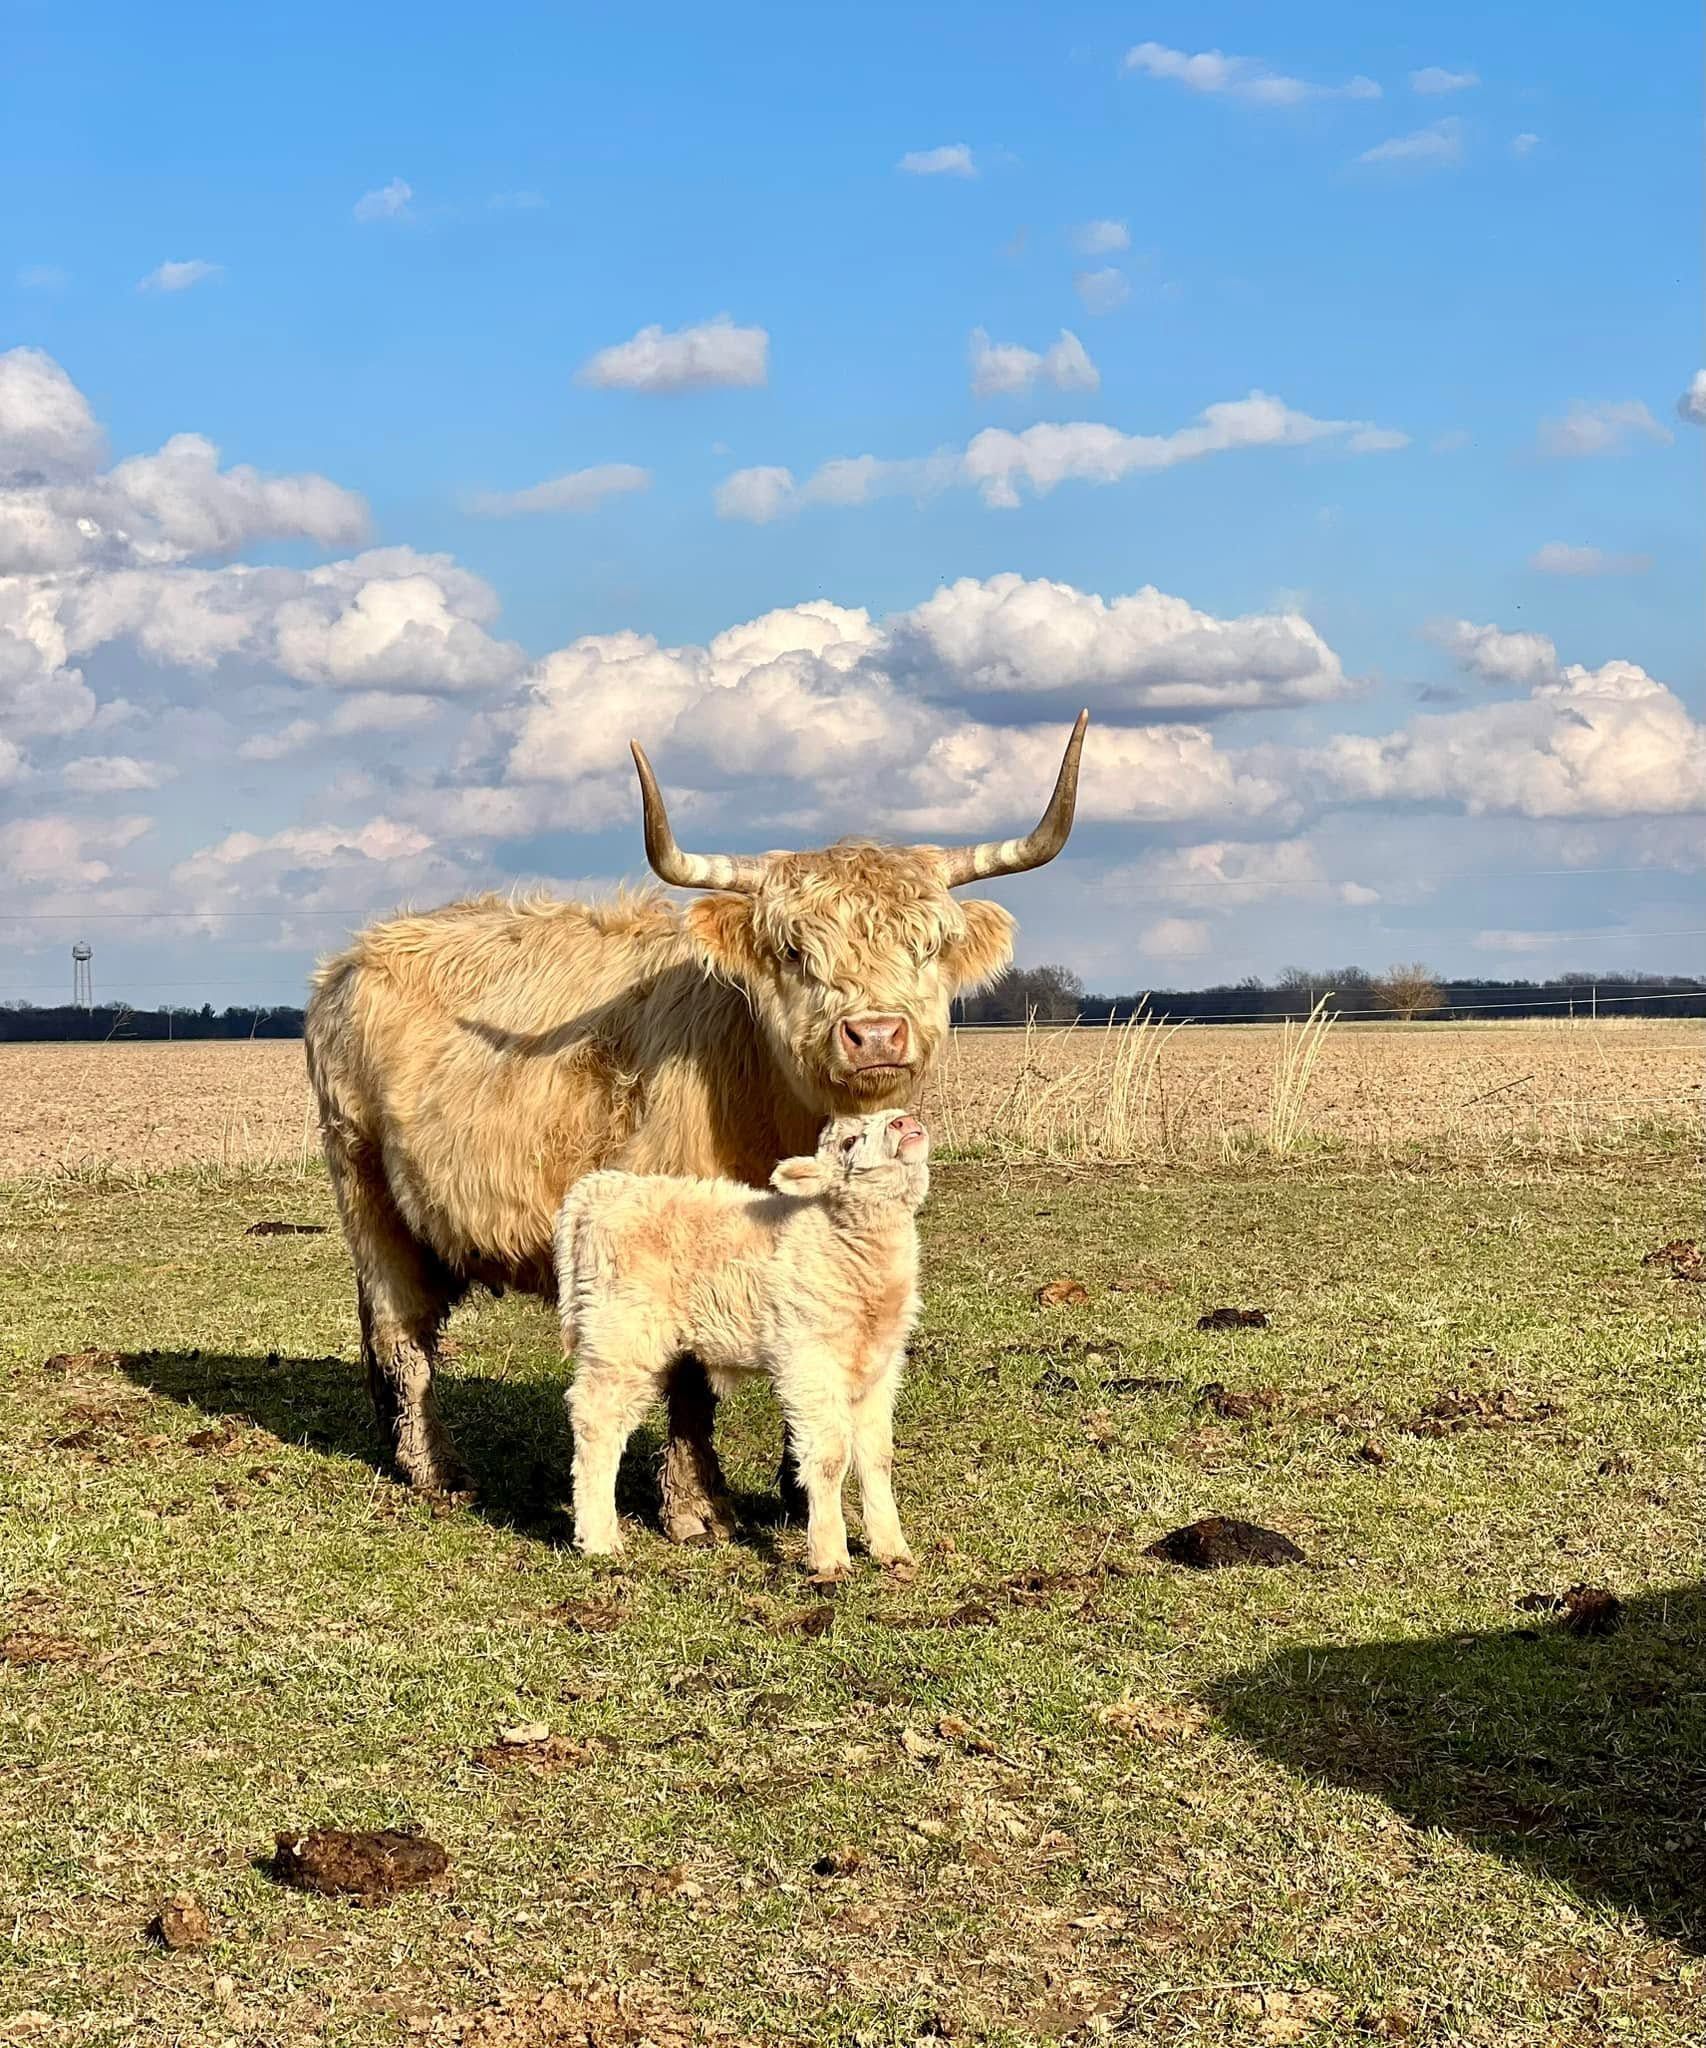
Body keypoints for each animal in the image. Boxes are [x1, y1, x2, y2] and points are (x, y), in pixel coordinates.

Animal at [304, 711, 1086, 1540]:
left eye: (929, 945)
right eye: (793, 949)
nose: (875, 1033)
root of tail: (354, 955)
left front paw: (797, 1498)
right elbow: (690, 1382)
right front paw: (697, 1509)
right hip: (364, 1185)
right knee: (402, 1331)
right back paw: (435, 1470)